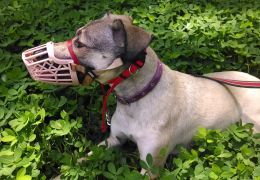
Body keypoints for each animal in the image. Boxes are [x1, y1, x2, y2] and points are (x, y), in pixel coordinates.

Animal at [52, 13, 260, 176]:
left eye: (80, 44)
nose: (49, 45)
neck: (137, 98)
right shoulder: (113, 140)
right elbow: (83, 159)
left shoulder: (151, 164)